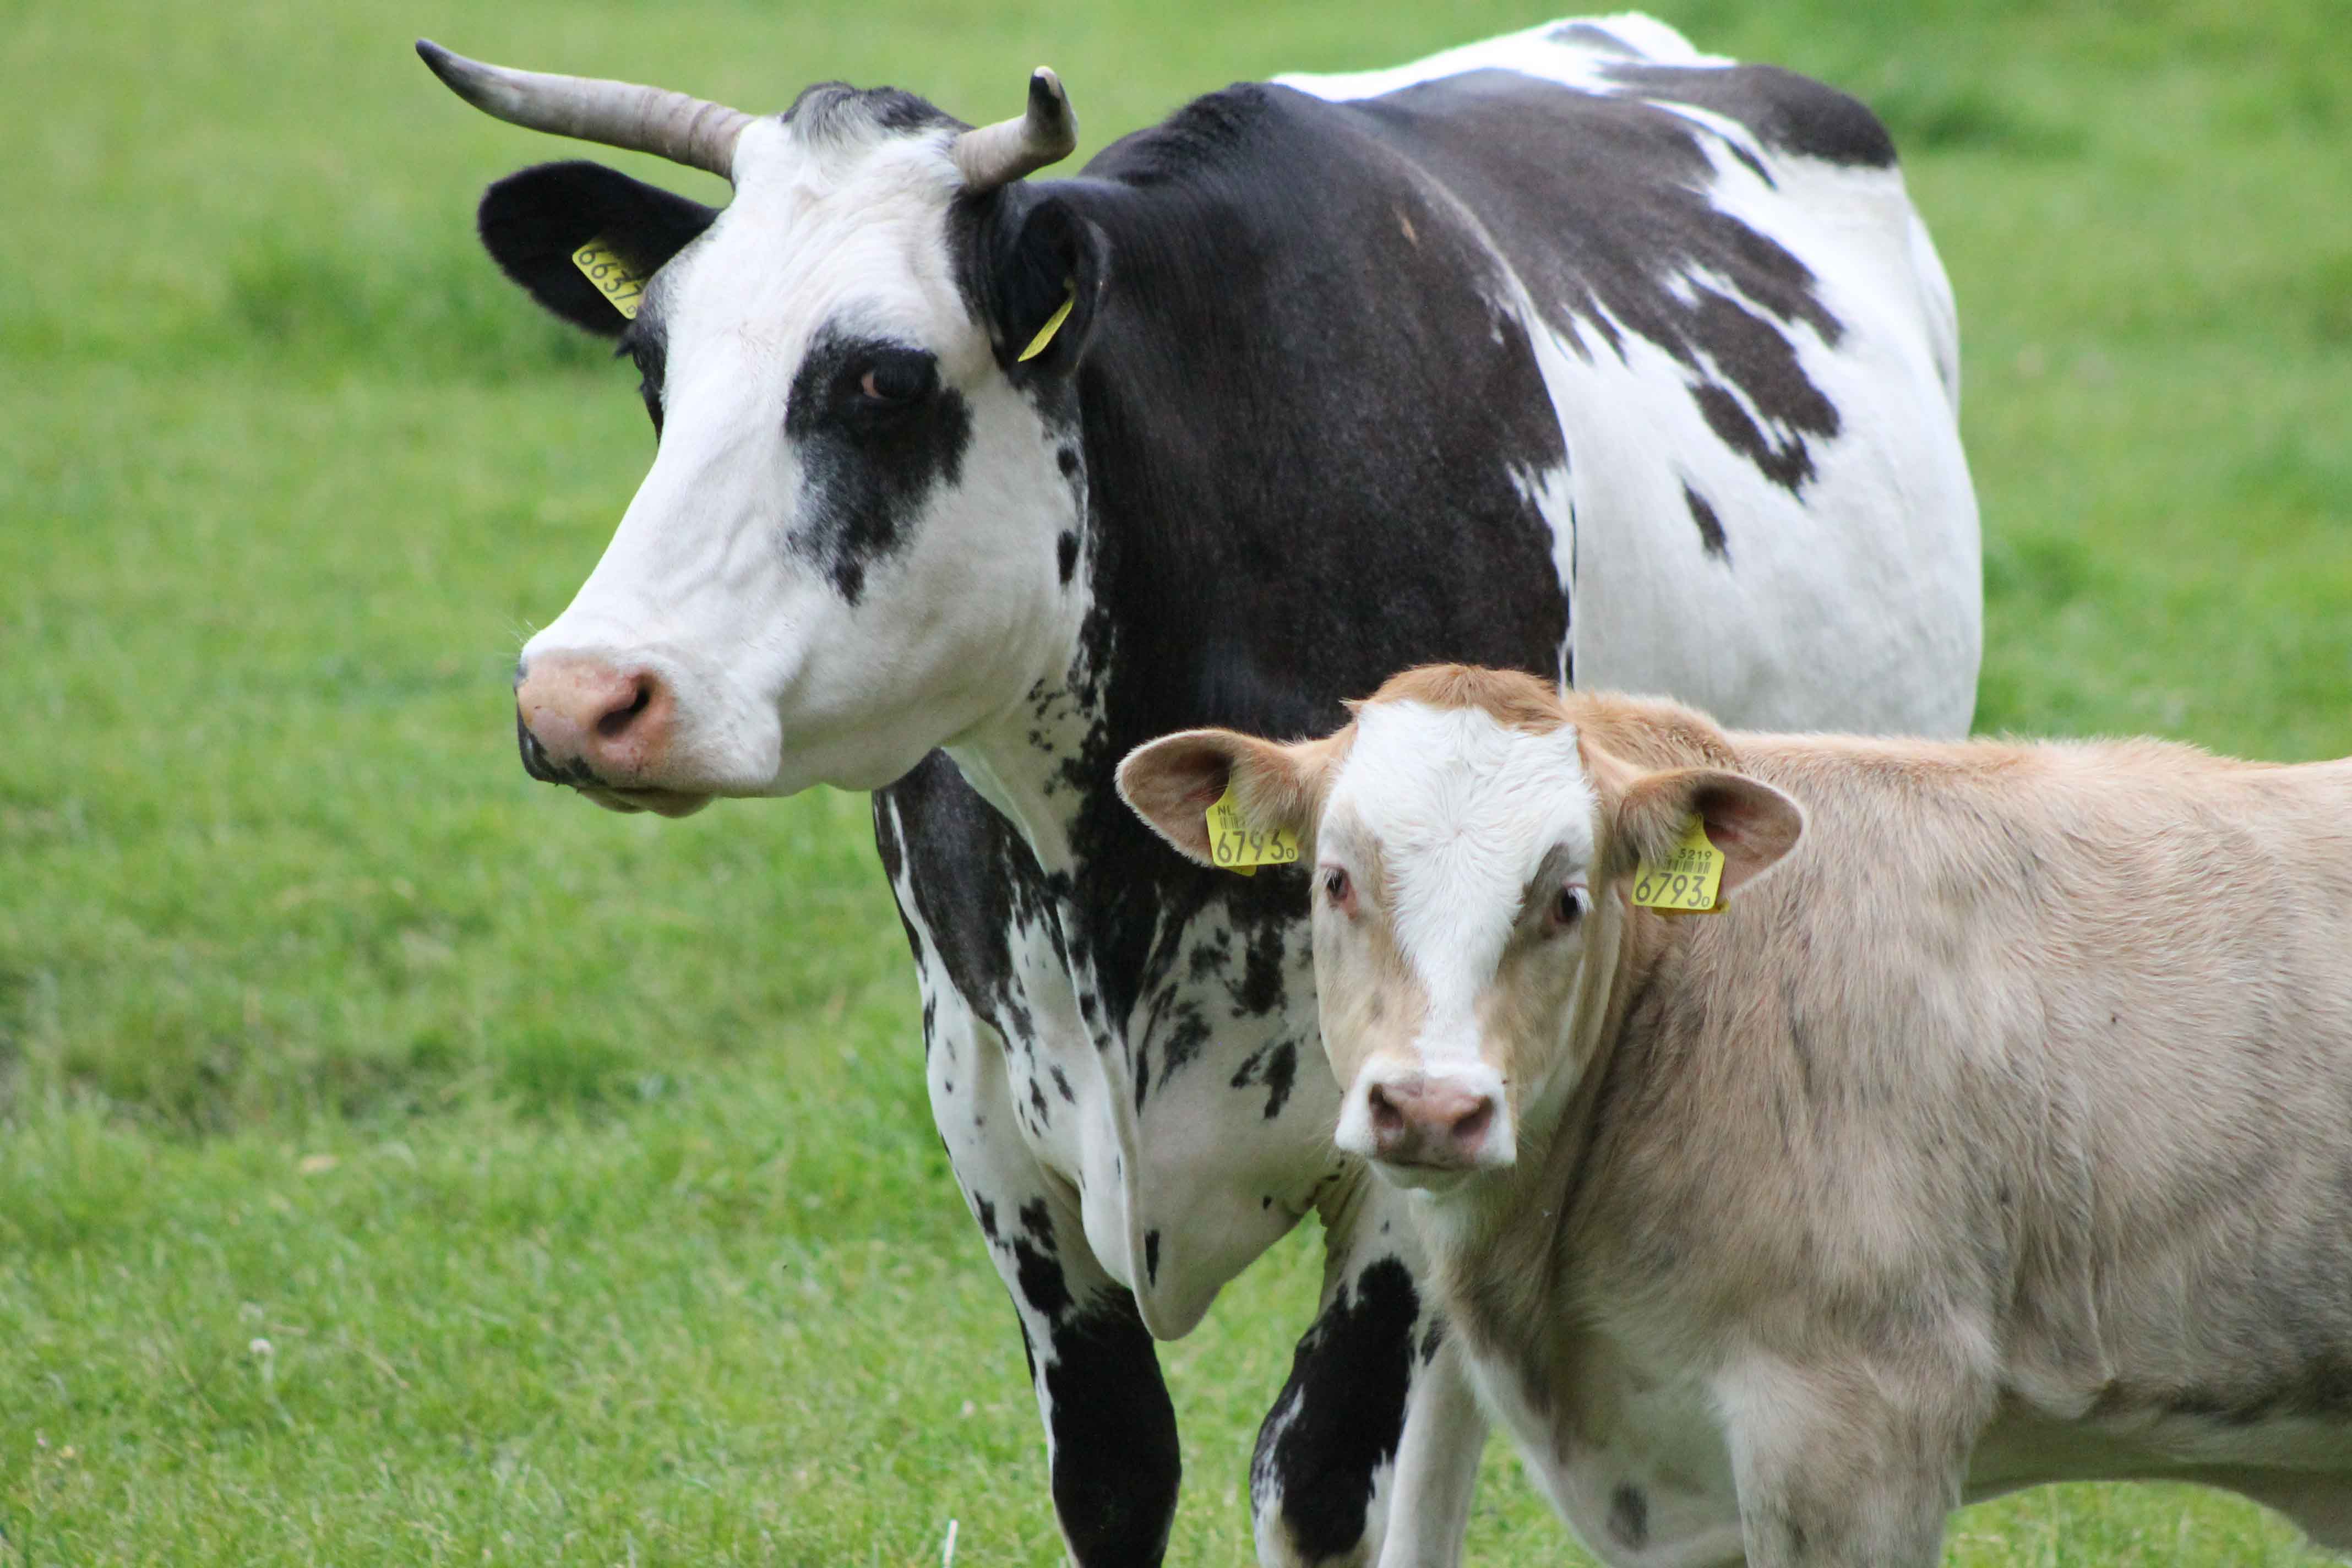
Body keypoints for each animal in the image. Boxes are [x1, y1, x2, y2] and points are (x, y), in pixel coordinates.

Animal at [418, 16, 1982, 1565]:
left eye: (881, 380)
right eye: (652, 367)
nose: (582, 694)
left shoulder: (1405, 1146)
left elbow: (1319, 1479)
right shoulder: (986, 1110)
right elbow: (1116, 1475)